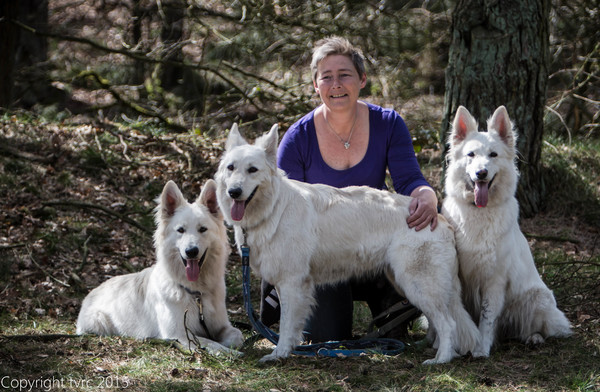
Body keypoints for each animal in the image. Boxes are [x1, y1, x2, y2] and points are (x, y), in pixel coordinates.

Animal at [77, 179, 244, 354]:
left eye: (202, 229)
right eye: (181, 230)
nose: (191, 251)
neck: (195, 293)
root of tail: (92, 293)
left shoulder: (222, 325)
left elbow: (237, 335)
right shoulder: (179, 333)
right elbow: (211, 343)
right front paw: (231, 353)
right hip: (99, 321)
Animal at [216, 123, 478, 364]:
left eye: (252, 170)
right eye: (231, 168)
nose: (233, 192)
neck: (273, 209)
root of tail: (440, 219)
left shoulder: (292, 283)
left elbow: (286, 324)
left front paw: (279, 353)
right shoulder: (286, 283)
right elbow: (291, 326)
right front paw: (289, 349)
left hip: (418, 285)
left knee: (448, 324)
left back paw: (441, 359)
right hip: (409, 285)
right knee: (440, 322)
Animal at [442, 105, 576, 356]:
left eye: (493, 155)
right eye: (471, 155)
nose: (481, 173)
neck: (480, 212)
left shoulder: (494, 281)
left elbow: (486, 318)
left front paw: (481, 349)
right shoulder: (460, 277)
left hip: (537, 298)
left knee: (540, 328)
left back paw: (534, 338)